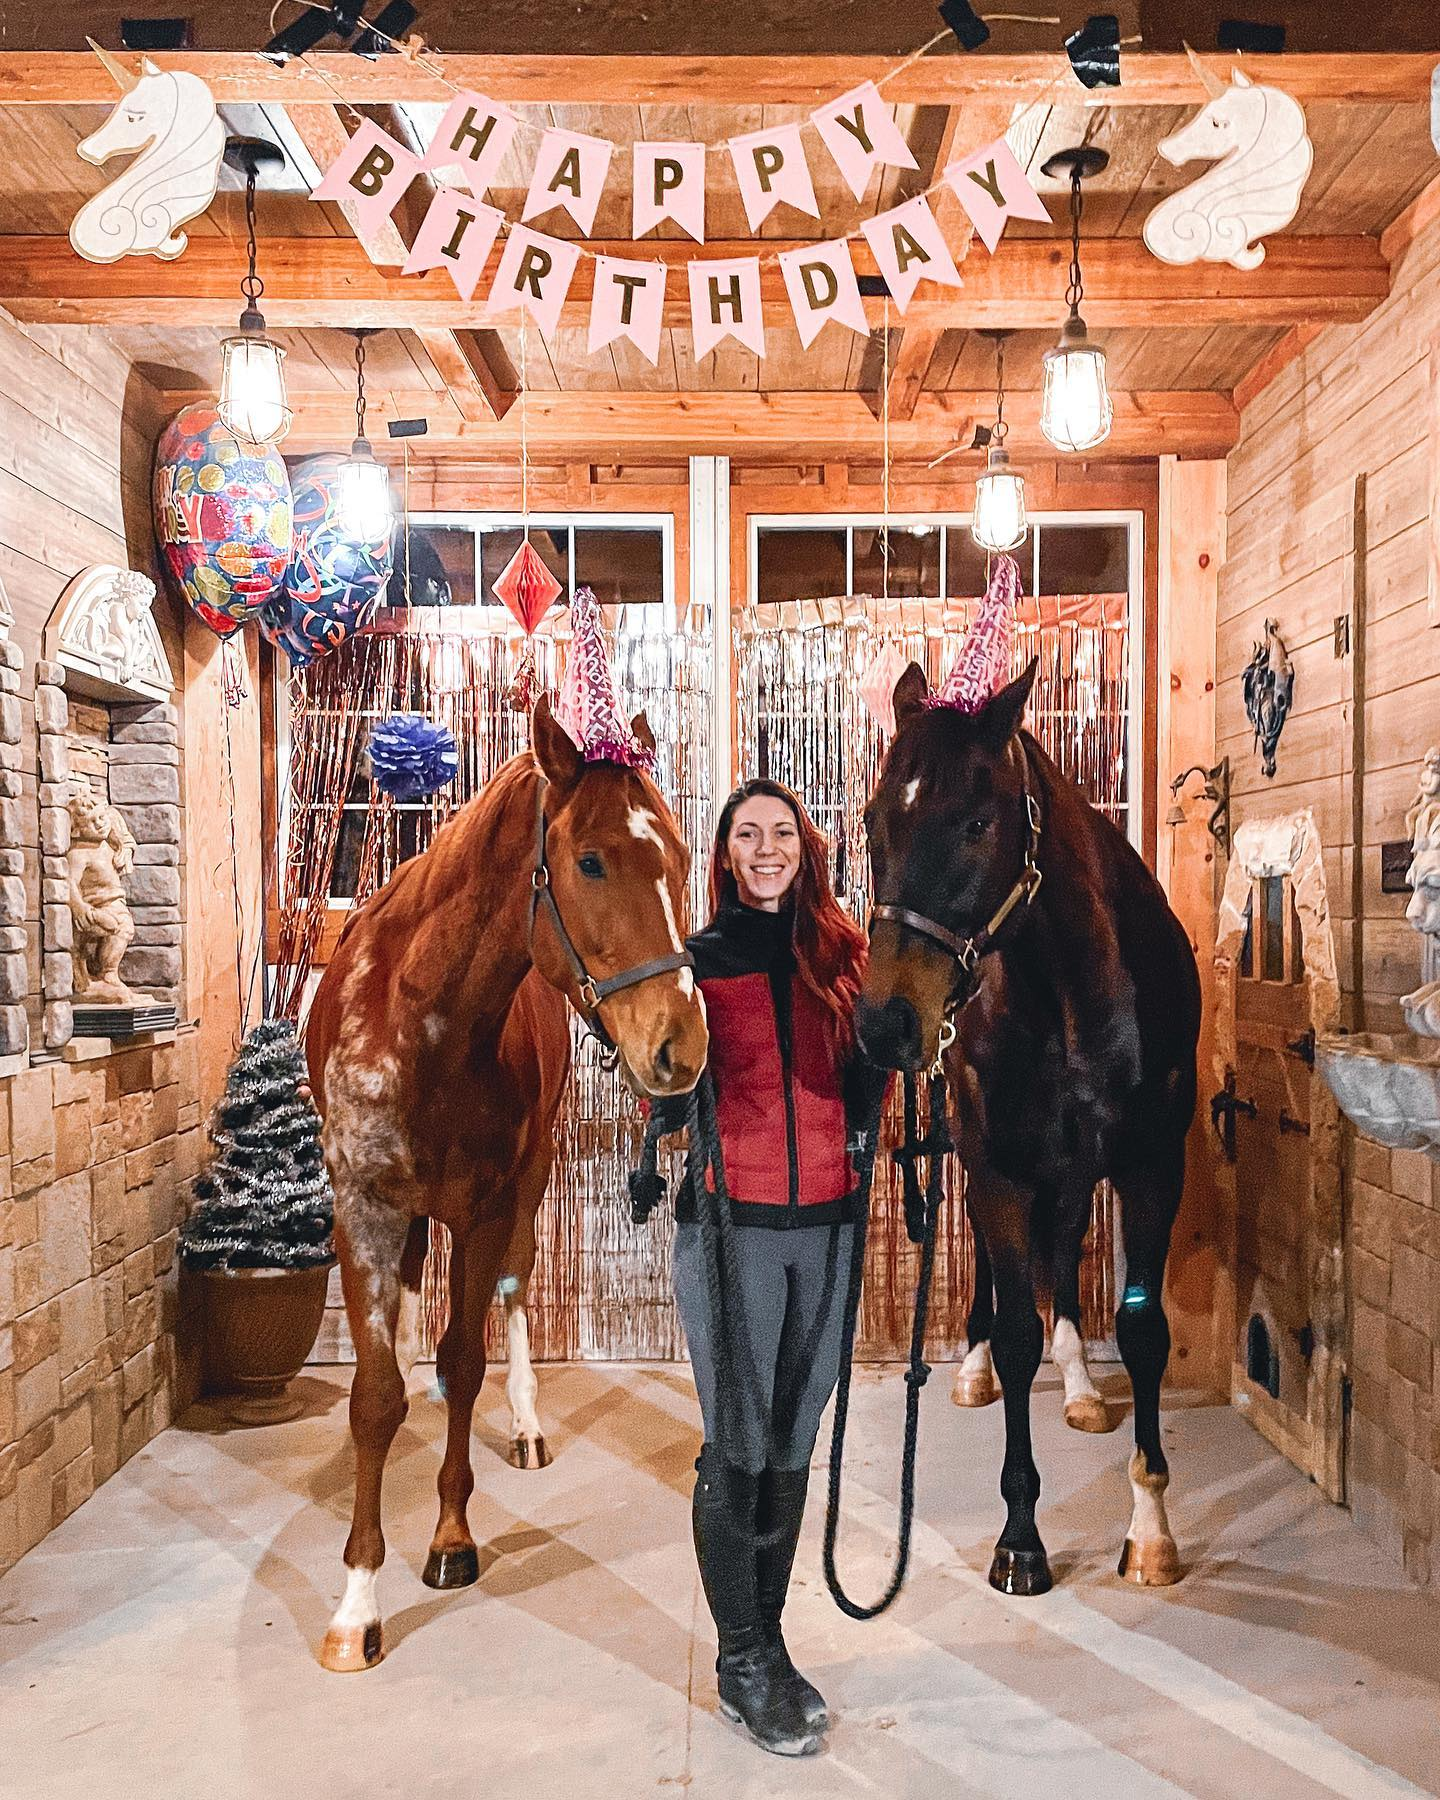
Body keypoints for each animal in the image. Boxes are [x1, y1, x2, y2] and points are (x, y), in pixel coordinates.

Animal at [307, 694, 709, 1663]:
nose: (681, 1045)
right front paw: (356, 1605)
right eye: (590, 860)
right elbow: (373, 1395)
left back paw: (523, 1425)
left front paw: (451, 1539)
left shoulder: (488, 1207)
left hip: (529, 1184)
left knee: (517, 1289)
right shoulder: (363, 1210)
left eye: (681, 859)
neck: (421, 1019)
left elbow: (468, 1357)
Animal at [856, 658, 1202, 1591]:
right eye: (871, 820)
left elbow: (1143, 1329)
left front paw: (1151, 1528)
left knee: (1070, 1250)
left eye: (979, 821)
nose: (887, 1022)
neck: (1070, 989)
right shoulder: (999, 1164)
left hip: (1076, 1168)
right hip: (974, 1154)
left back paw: (1080, 1384)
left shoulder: (1152, 1167)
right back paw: (973, 1370)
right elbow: (1015, 1330)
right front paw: (1021, 1536)